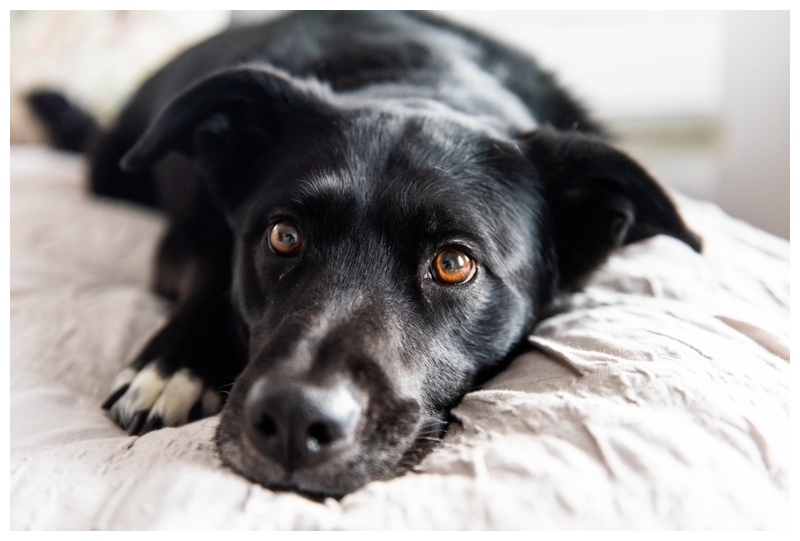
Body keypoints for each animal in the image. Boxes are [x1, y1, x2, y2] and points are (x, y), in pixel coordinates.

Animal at [28, 10, 696, 498]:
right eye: (283, 235)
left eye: (455, 263)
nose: (294, 421)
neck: (420, 81)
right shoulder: (183, 240)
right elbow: (215, 266)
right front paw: (173, 366)